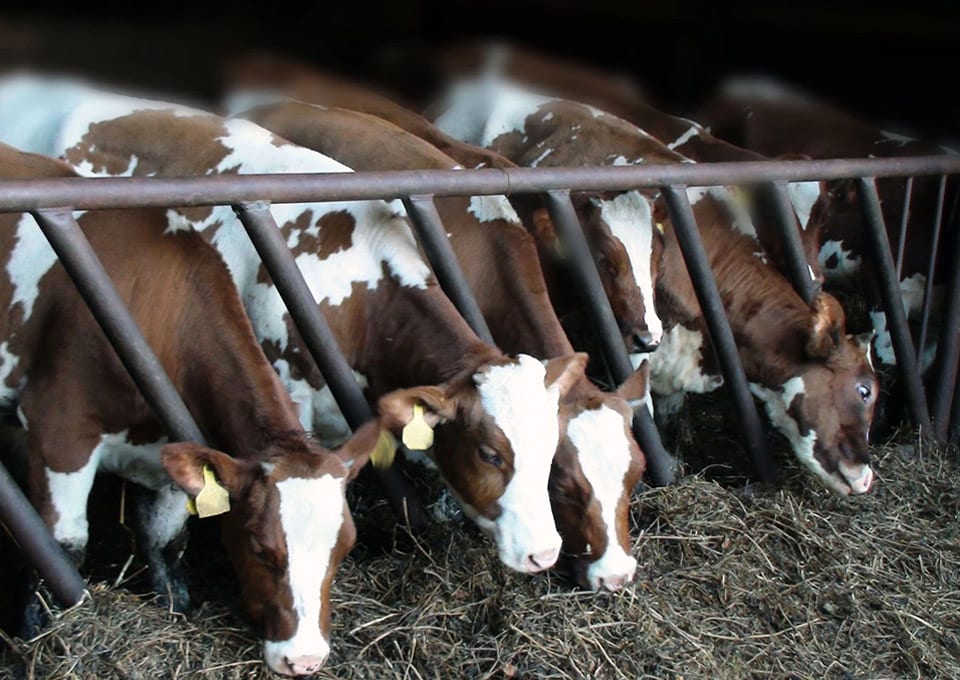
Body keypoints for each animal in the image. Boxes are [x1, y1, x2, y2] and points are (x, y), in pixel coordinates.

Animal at [0, 140, 394, 675]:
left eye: (346, 546)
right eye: (260, 548)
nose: (305, 660)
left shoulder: (172, 444)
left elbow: (166, 540)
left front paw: (176, 608)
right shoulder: (60, 427)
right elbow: (63, 545)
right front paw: (35, 632)